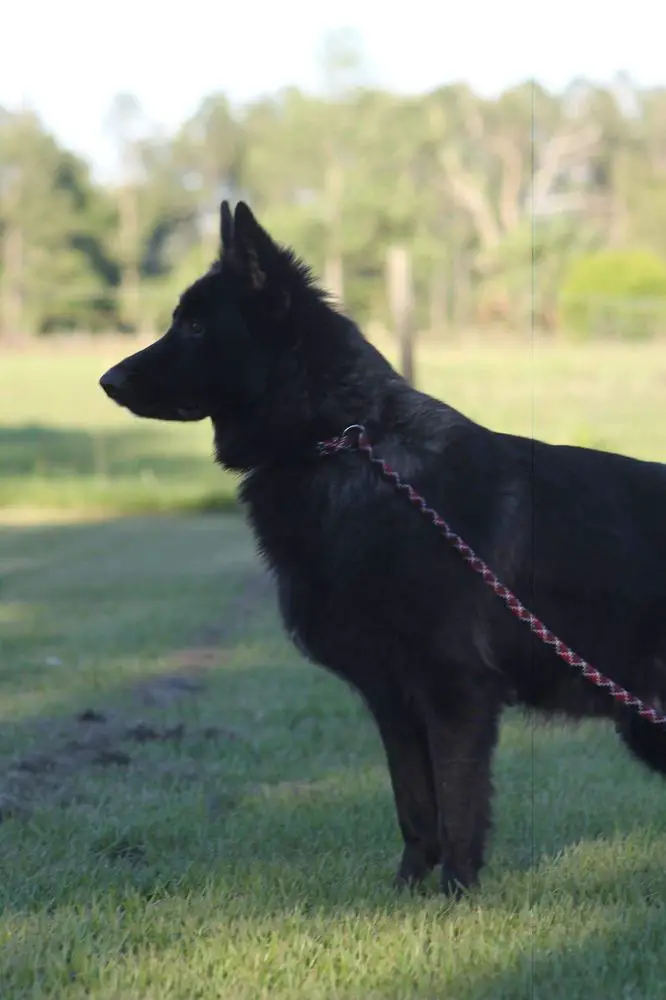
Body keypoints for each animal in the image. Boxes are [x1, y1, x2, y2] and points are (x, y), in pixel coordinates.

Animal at [98, 199, 664, 896]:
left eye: (197, 326)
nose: (107, 379)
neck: (342, 442)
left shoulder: (454, 690)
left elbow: (457, 805)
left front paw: (457, 894)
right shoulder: (392, 697)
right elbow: (414, 804)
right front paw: (406, 892)